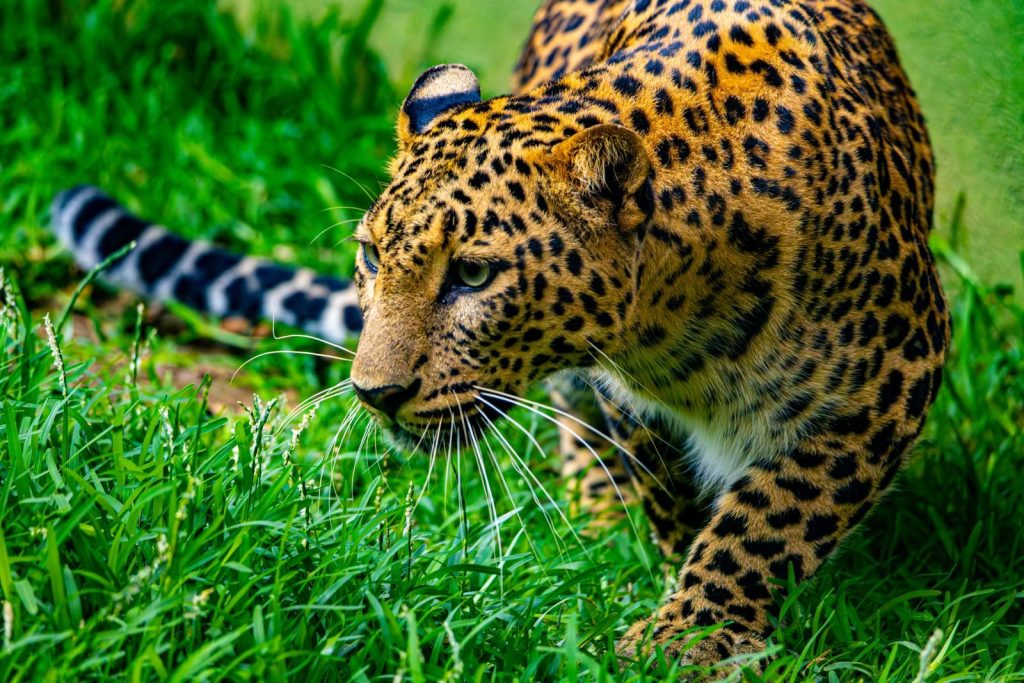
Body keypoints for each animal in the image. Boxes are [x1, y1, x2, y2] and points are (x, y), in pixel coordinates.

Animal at [52, 0, 950, 674]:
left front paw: (687, 633)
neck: (676, 314)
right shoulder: (625, 394)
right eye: (372, 255)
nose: (373, 394)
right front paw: (664, 576)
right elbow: (666, 486)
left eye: (474, 276)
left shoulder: (890, 381)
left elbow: (771, 517)